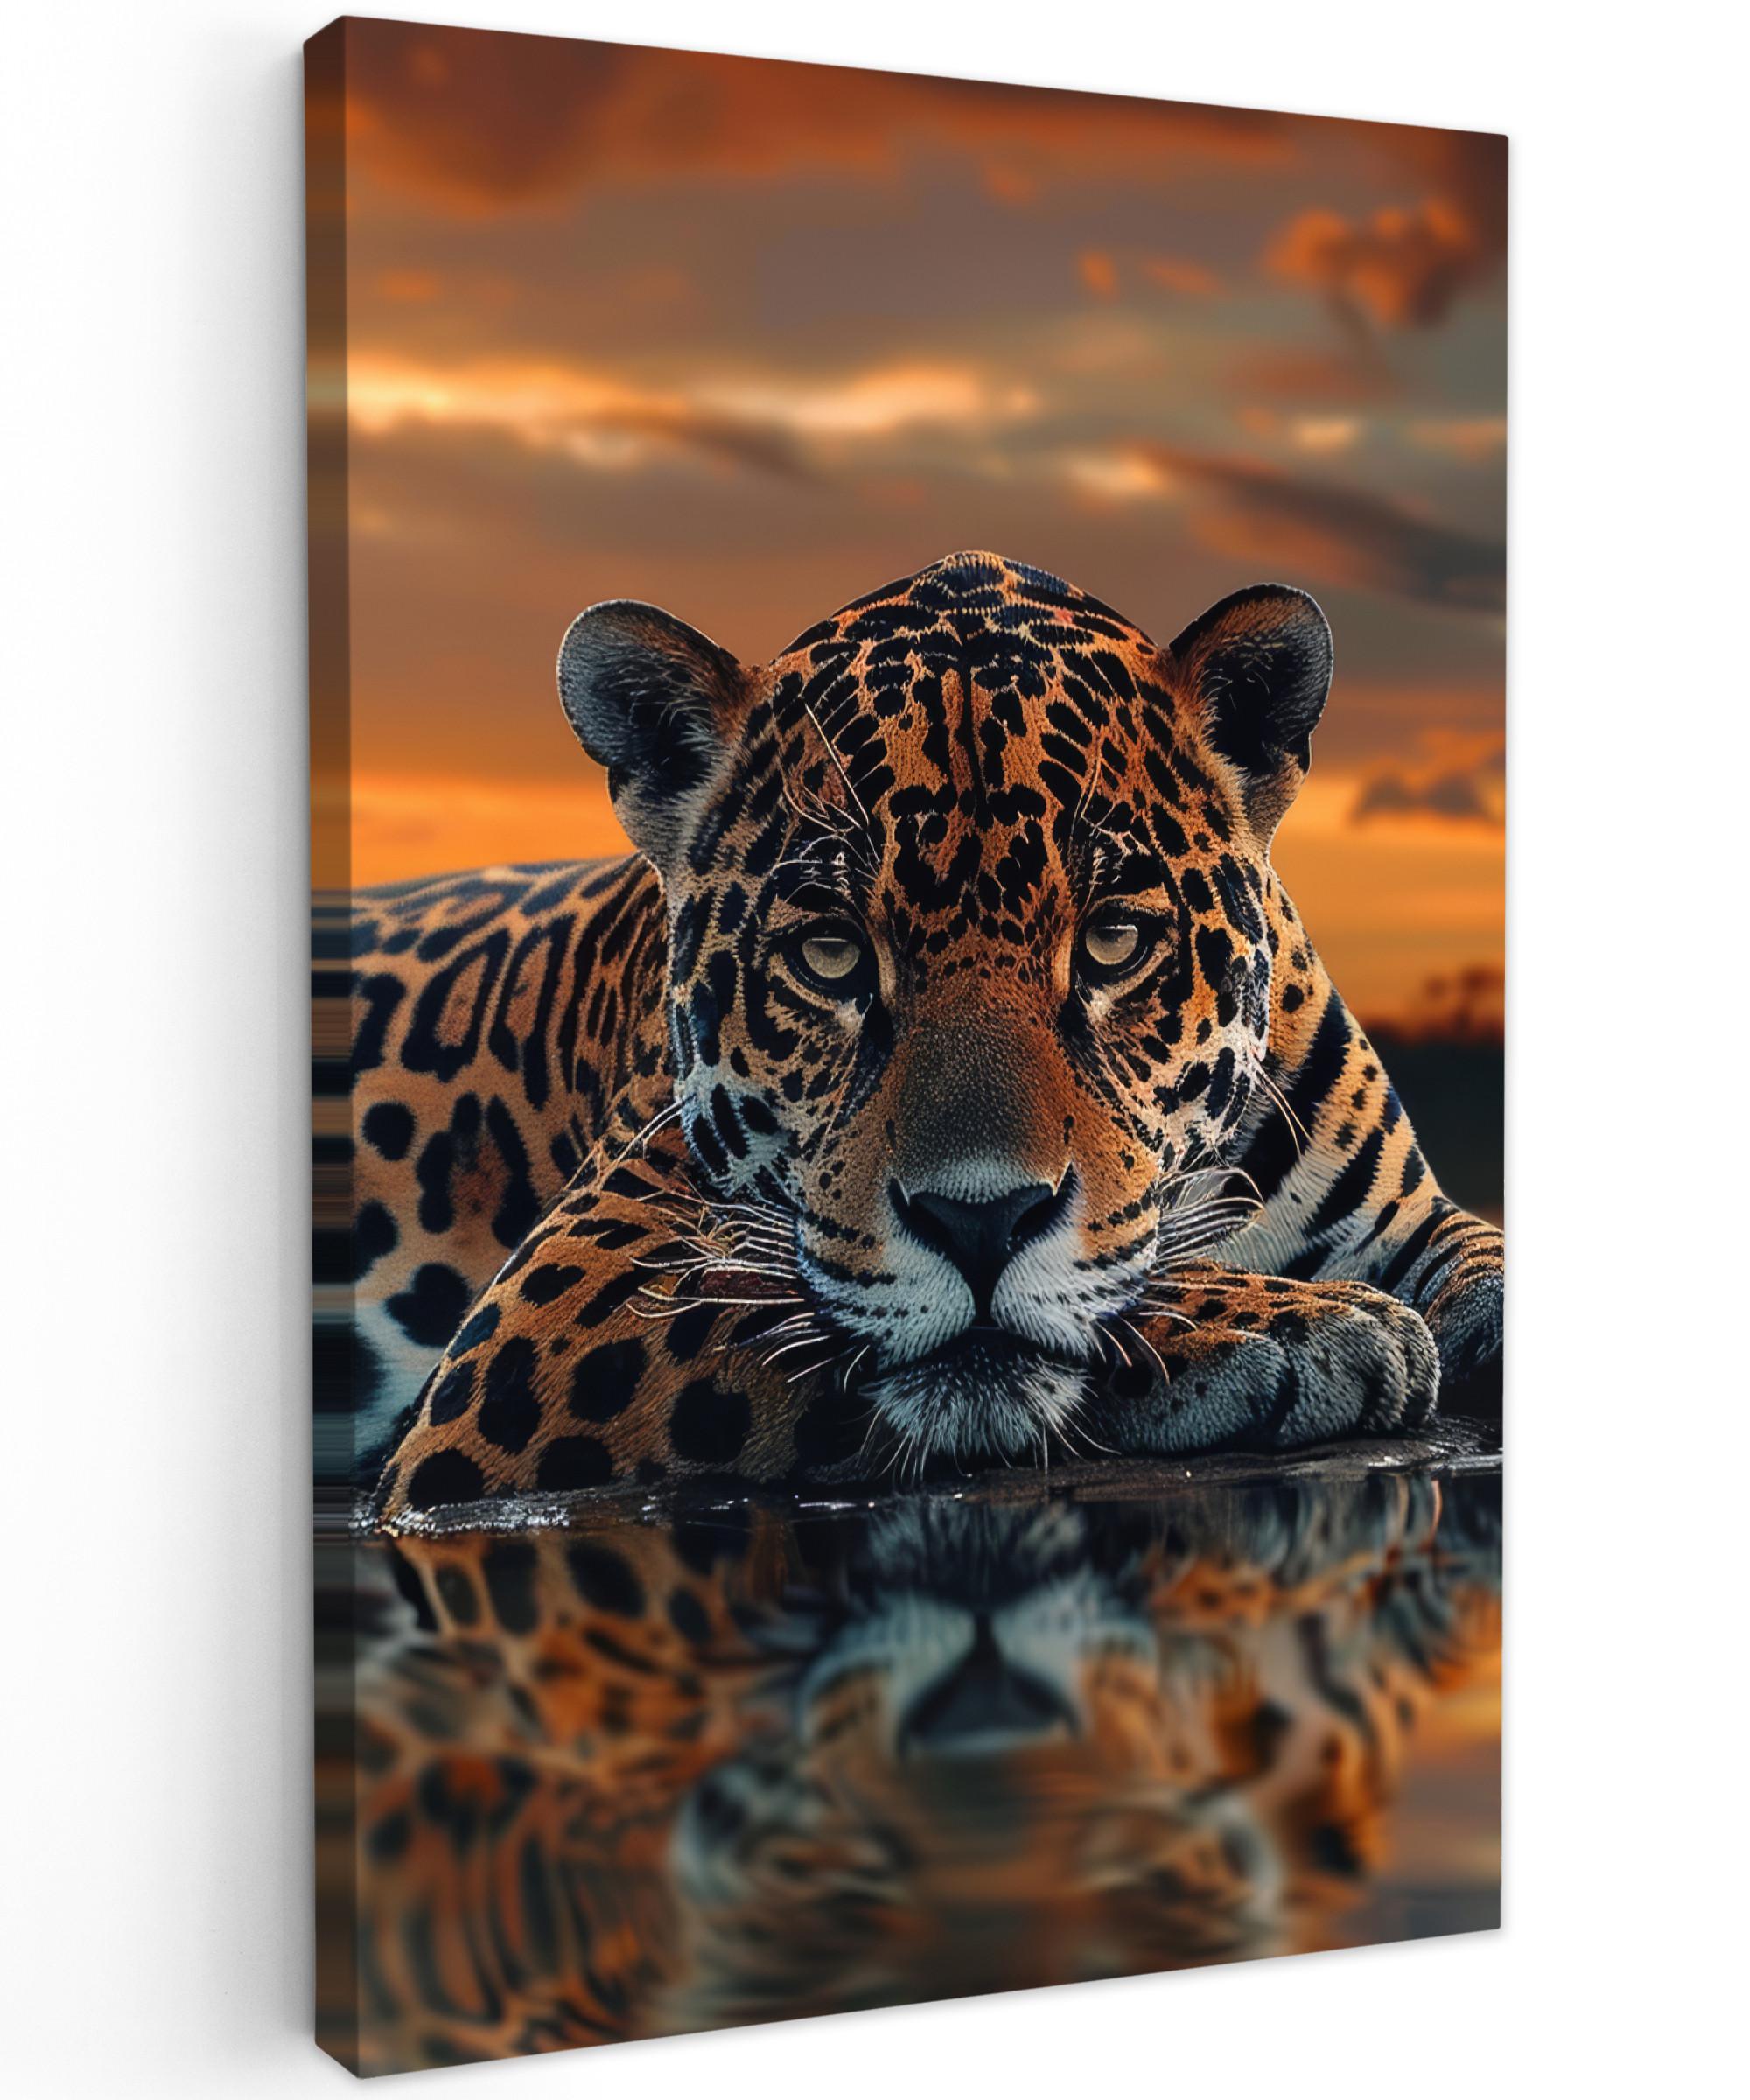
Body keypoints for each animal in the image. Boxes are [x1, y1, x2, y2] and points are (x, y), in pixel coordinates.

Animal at [309, 550, 1503, 1522]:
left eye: (1112, 942)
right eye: (831, 955)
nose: (980, 1222)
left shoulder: (1406, 1217)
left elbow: (1480, 1252)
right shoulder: (558, 1298)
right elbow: (772, 1306)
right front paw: (1300, 1325)